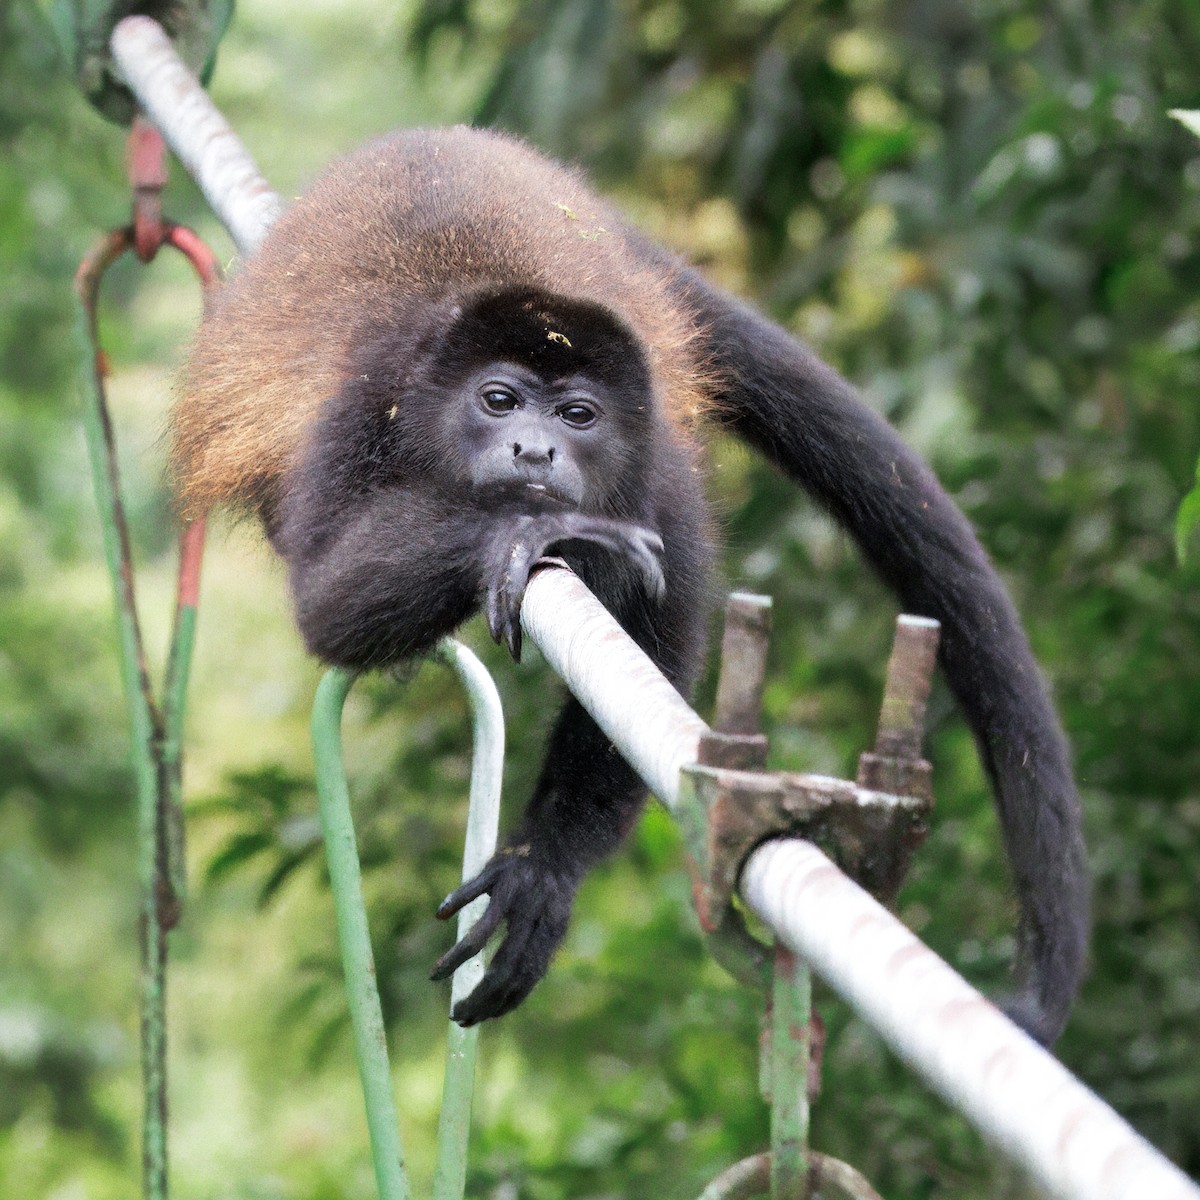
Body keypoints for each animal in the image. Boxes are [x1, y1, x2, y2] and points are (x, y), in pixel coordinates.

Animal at [173, 125, 1088, 1044]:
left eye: (578, 415)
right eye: (499, 401)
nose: (535, 451)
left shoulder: (660, 477)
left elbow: (659, 651)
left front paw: (544, 868)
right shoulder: (364, 407)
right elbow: (327, 598)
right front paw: (523, 530)